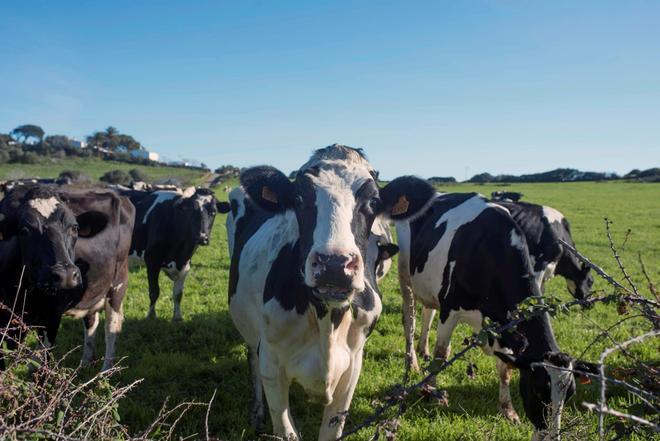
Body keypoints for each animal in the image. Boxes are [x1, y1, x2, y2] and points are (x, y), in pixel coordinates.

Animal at [0, 185, 134, 371]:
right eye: (24, 230)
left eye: (74, 228)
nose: (66, 275)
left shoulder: (52, 318)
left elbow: (41, 367)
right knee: (91, 322)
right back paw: (85, 363)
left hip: (118, 283)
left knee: (111, 327)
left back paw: (106, 371)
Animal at [120, 187, 230, 321]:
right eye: (191, 211)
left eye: (213, 212)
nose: (201, 237)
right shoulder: (152, 261)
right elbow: (154, 291)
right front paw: (151, 316)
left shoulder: (185, 266)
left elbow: (178, 294)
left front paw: (177, 317)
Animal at [226, 144, 434, 440]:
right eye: (299, 198)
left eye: (373, 202)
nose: (334, 265)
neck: (326, 321)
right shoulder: (272, 363)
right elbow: (285, 428)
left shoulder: (353, 366)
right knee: (251, 357)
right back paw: (256, 413)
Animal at [393, 180, 596, 440]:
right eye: (538, 390)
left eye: (569, 395)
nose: (551, 436)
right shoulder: (451, 308)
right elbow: (442, 354)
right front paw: (430, 390)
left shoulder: (507, 327)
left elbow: (505, 369)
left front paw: (508, 411)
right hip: (405, 278)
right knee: (410, 320)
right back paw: (413, 361)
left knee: (428, 312)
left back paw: (422, 350)